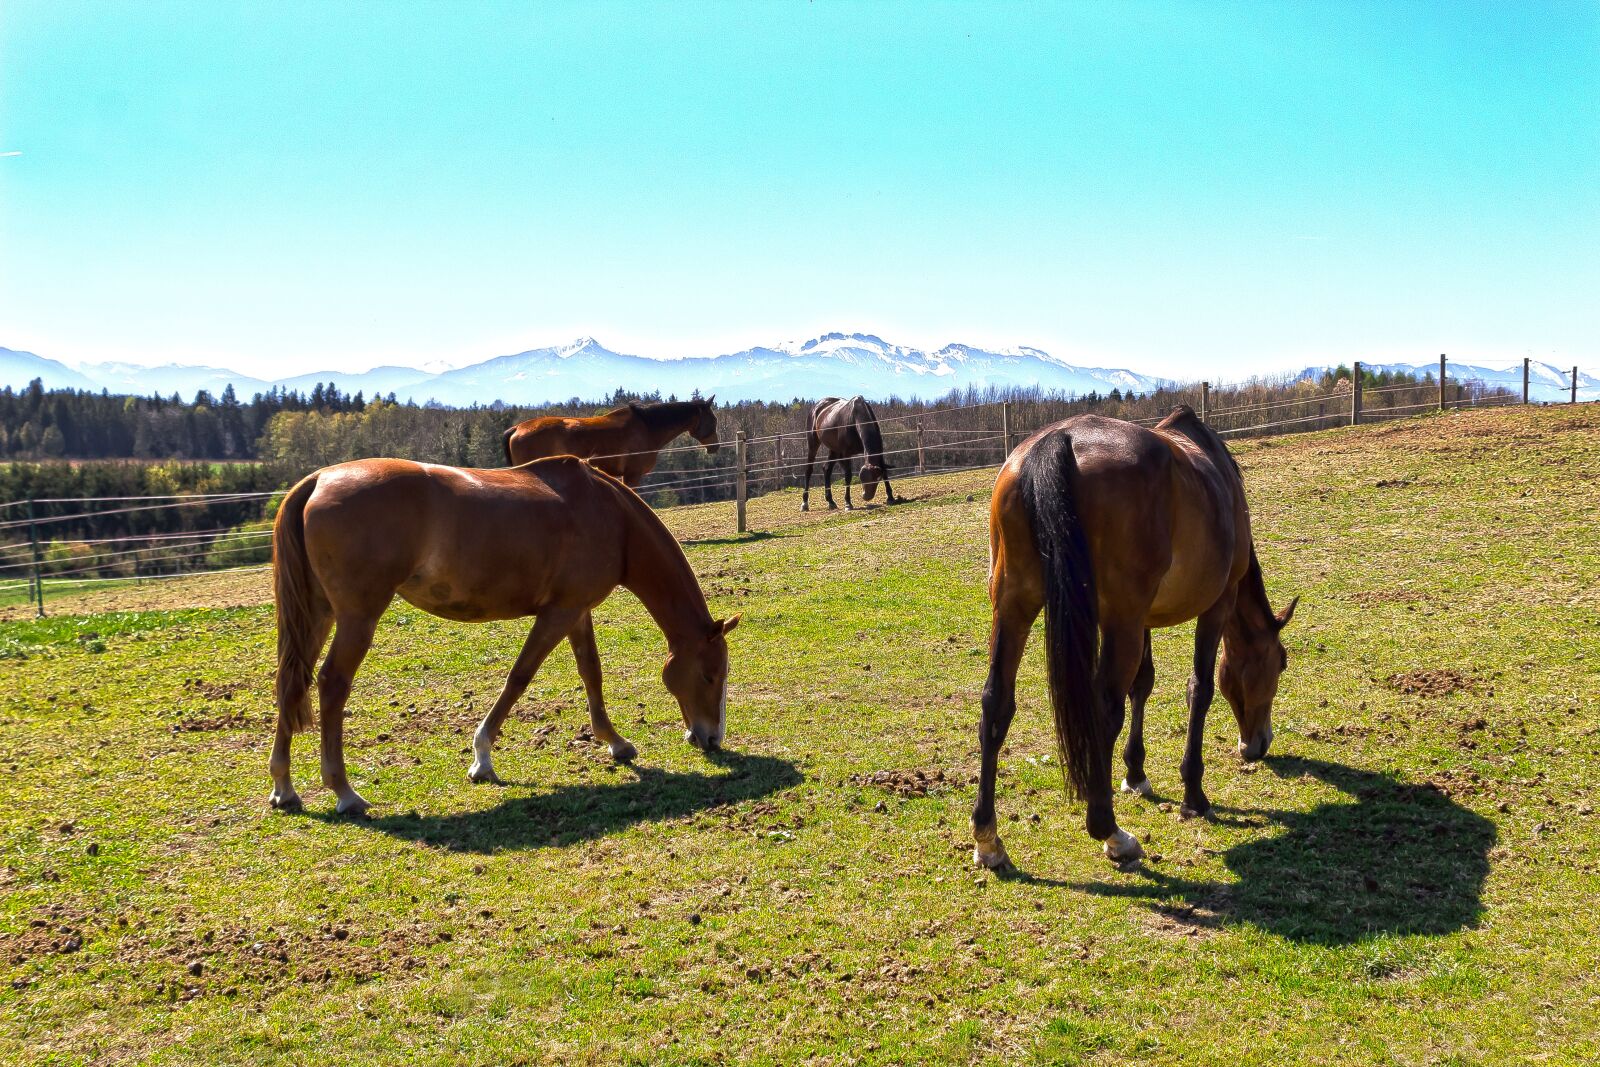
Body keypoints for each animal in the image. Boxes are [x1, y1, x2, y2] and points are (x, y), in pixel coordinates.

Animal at [267, 454, 739, 817]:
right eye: (710, 676)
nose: (711, 739)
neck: (609, 514)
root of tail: (317, 480)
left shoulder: (577, 611)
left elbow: (591, 673)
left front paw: (615, 742)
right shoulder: (558, 614)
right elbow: (519, 677)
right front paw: (482, 758)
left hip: (318, 614)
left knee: (292, 680)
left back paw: (284, 788)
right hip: (357, 618)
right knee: (332, 684)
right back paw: (344, 792)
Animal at [972, 406, 1297, 868]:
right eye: (1280, 663)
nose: (1258, 744)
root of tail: (1060, 439)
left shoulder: (1143, 618)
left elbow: (1143, 685)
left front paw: (1136, 773)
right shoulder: (1216, 605)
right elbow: (1199, 689)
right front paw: (1193, 795)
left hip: (1014, 605)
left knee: (996, 703)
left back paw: (987, 838)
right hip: (1116, 621)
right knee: (1104, 709)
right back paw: (1111, 833)